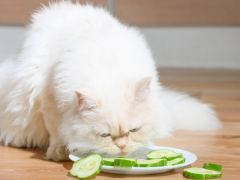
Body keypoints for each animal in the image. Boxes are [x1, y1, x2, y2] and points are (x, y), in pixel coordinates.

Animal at [0, 1, 221, 161]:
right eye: (104, 135)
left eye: (134, 130)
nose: (121, 147)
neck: (108, 68)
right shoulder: (48, 101)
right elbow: (56, 131)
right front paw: (58, 152)